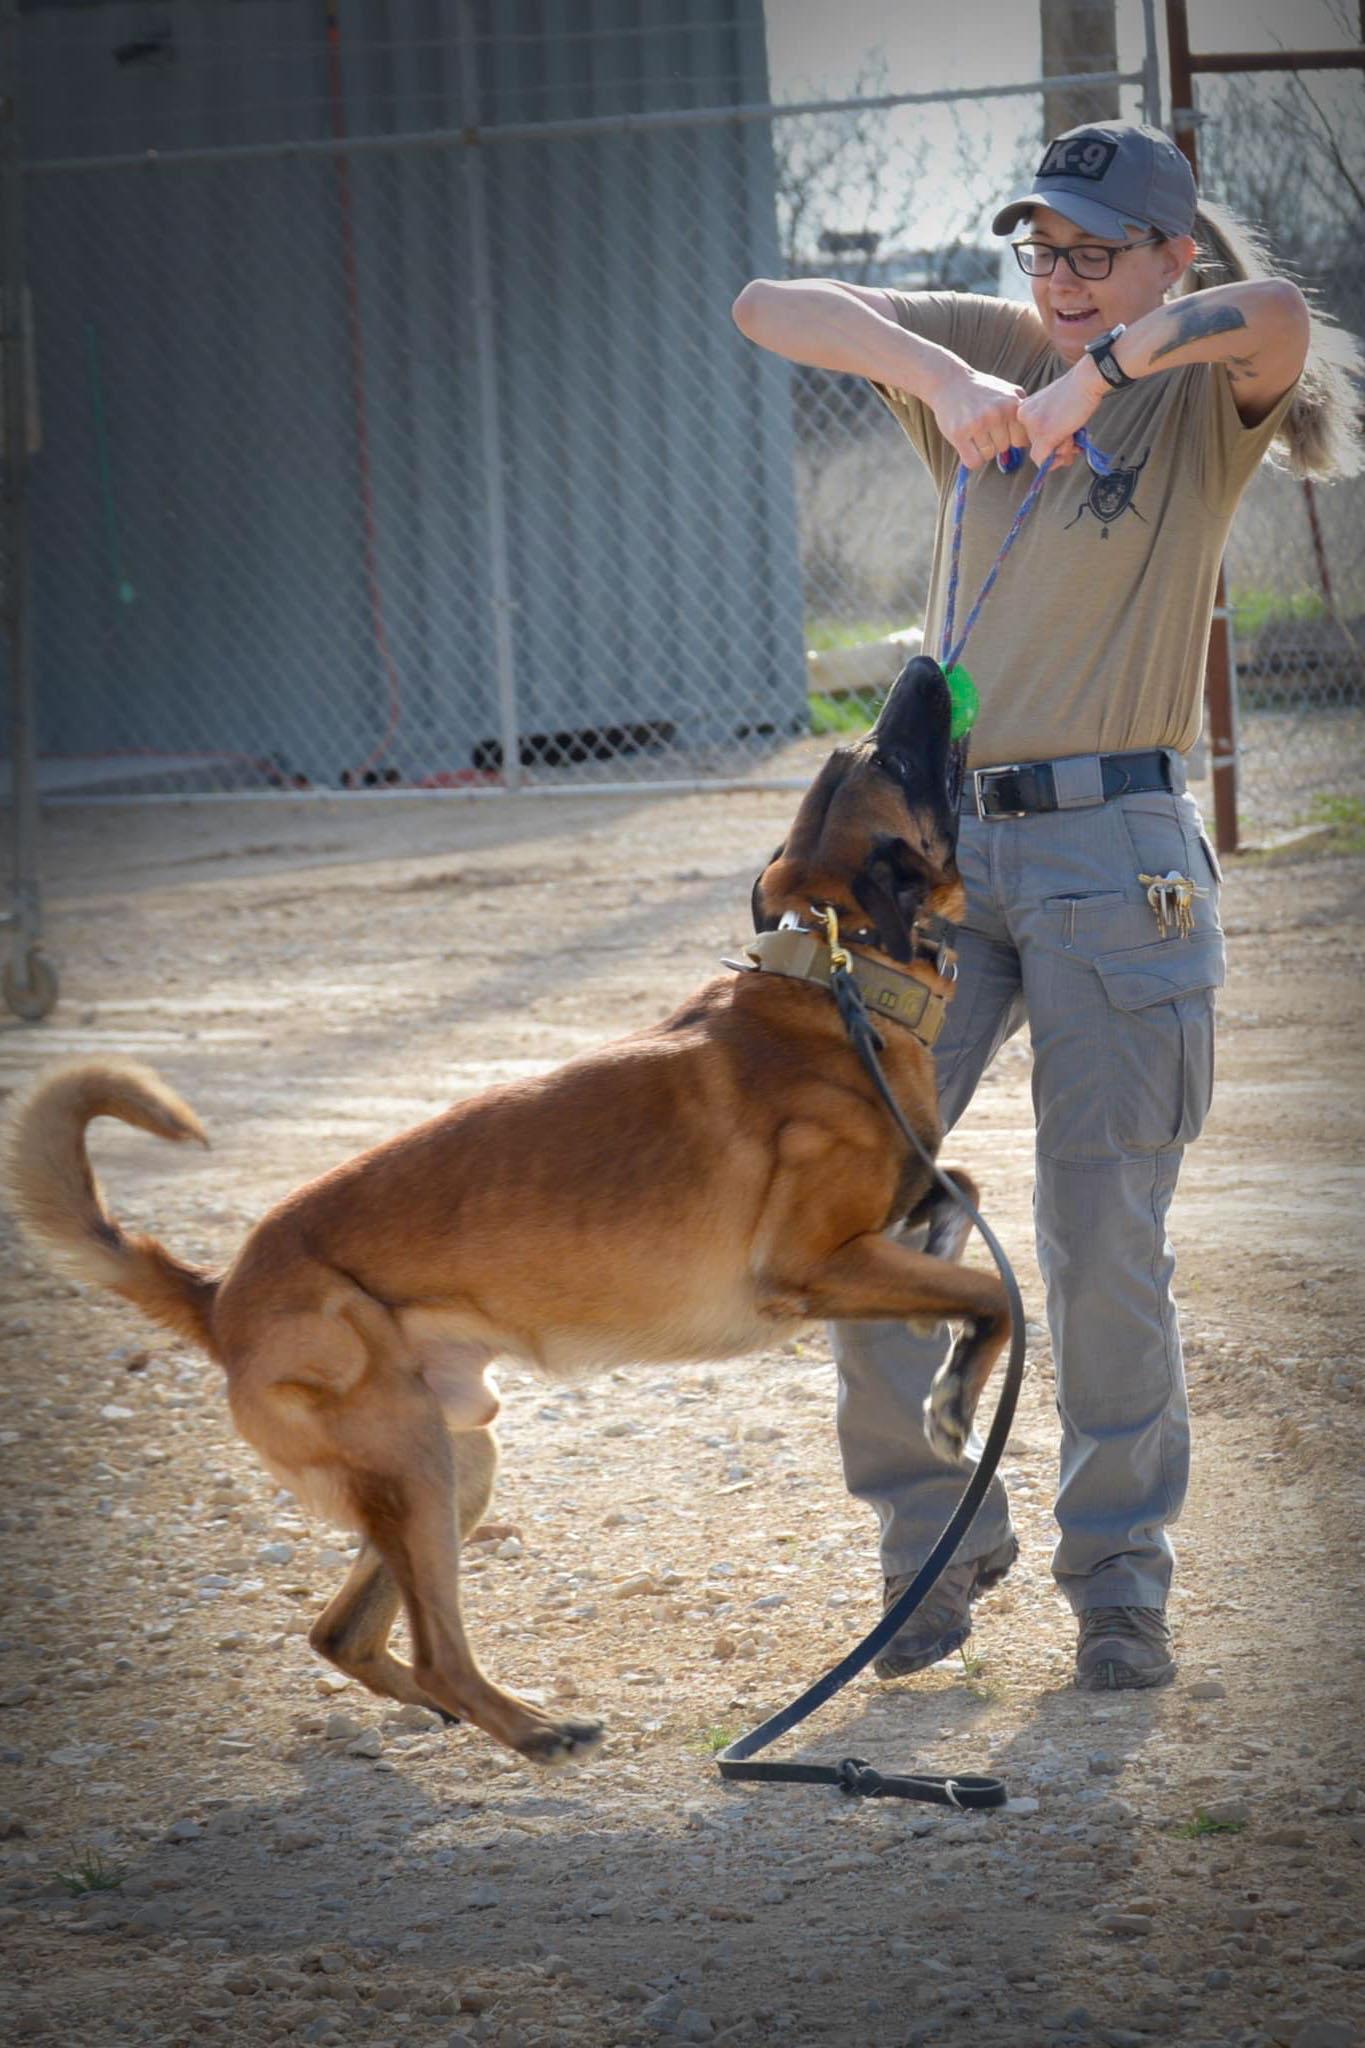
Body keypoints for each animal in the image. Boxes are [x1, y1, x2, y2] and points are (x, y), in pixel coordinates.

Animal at [5, 655, 1010, 1761]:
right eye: (896, 758)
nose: (921, 664)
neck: (836, 978)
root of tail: (219, 1291)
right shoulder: (810, 1268)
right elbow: (998, 1293)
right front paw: (954, 1395)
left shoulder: (873, 1237)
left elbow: (960, 1194)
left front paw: (939, 1284)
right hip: (413, 1463)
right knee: (432, 1645)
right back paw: (535, 1729)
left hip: (454, 1460)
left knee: (343, 1632)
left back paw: (470, 1714)